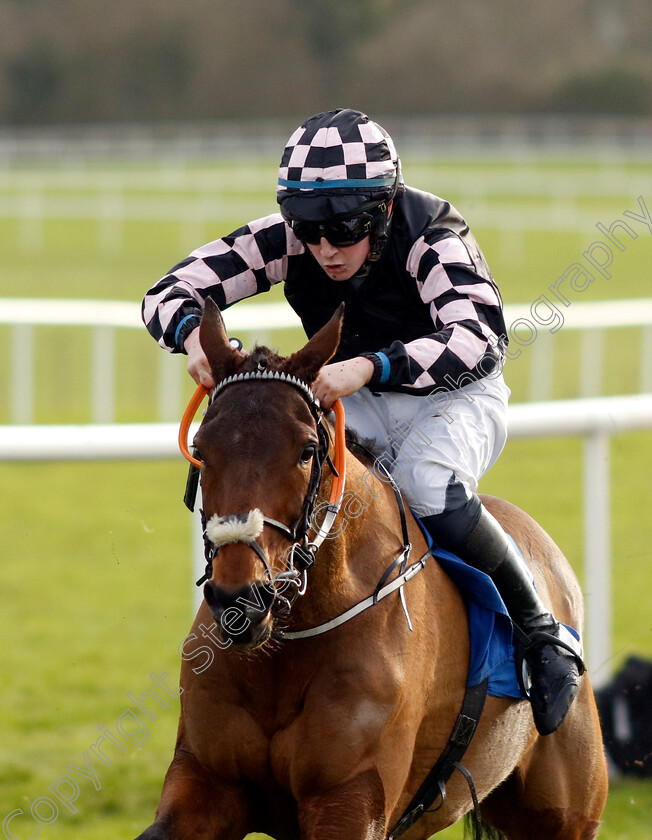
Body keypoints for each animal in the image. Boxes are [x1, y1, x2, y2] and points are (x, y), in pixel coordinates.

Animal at [135, 298, 608, 836]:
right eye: (201, 448)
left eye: (307, 450)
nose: (240, 600)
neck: (287, 645)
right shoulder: (206, 780)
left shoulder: (351, 798)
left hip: (565, 815)